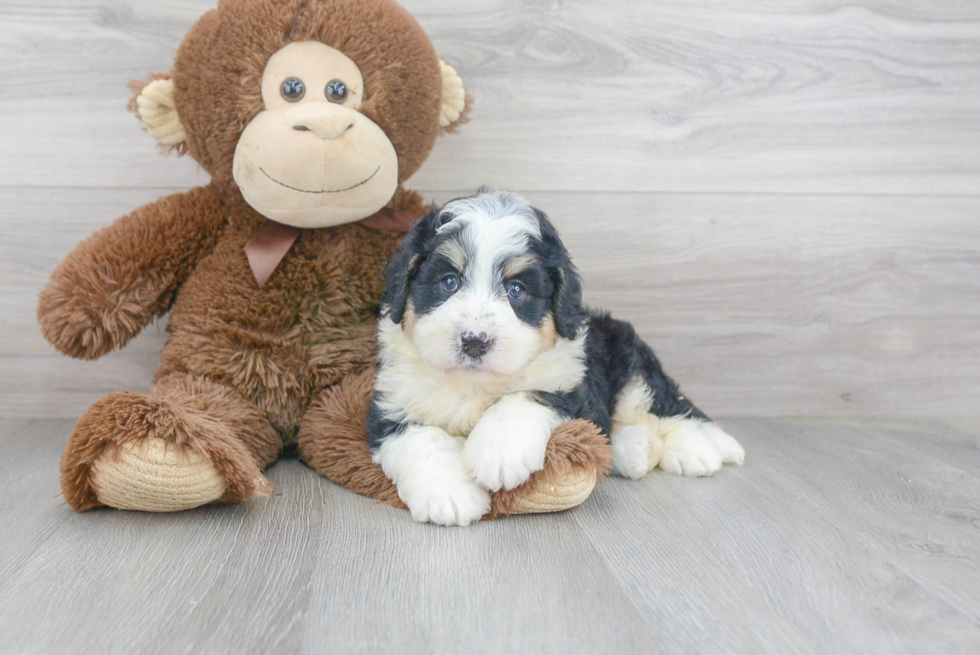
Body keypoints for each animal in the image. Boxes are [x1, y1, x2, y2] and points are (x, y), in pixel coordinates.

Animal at [368, 191, 744, 528]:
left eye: (516, 290)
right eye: (449, 282)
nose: (475, 341)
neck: (475, 384)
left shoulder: (572, 381)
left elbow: (527, 396)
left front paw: (499, 452)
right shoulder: (392, 401)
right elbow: (422, 438)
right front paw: (449, 494)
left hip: (631, 365)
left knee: (667, 406)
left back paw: (694, 450)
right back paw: (637, 450)